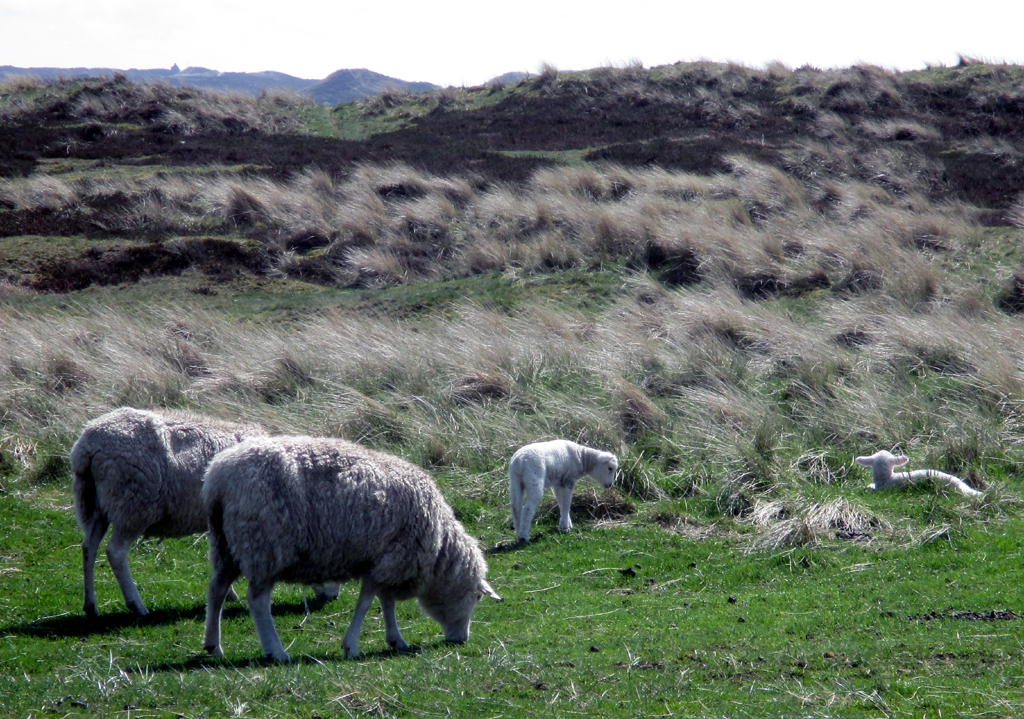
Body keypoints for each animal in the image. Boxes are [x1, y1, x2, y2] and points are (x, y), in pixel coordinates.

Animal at [70, 407, 339, 618]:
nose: (334, 596)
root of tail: (87, 445)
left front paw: (229, 593)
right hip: (133, 503)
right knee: (115, 552)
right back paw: (136, 605)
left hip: (96, 503)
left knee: (88, 547)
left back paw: (90, 605)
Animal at [202, 435, 501, 662]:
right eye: (477, 597)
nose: (462, 640)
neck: (439, 548)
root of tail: (218, 477)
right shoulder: (388, 560)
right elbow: (367, 602)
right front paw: (351, 646)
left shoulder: (384, 559)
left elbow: (386, 601)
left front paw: (396, 639)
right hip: (264, 545)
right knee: (258, 602)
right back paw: (276, 651)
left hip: (226, 544)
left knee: (216, 589)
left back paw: (213, 645)